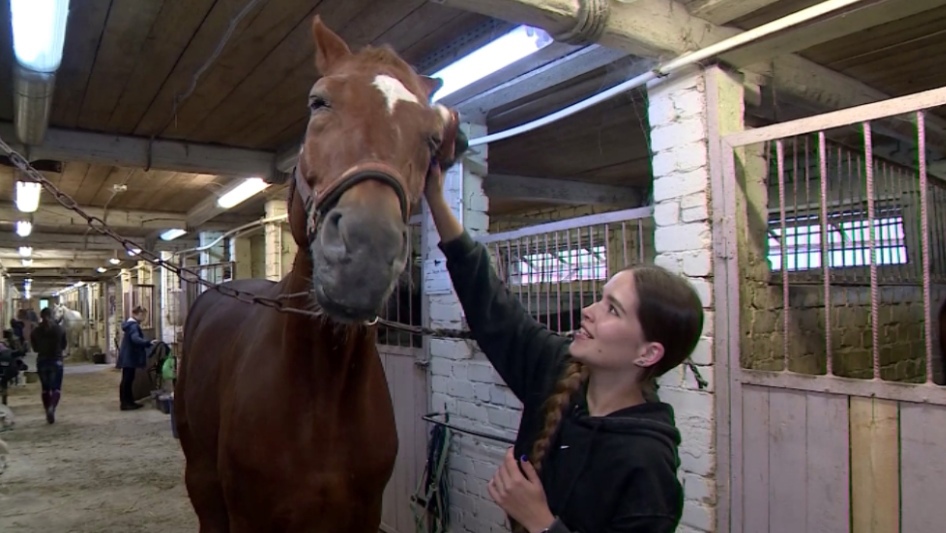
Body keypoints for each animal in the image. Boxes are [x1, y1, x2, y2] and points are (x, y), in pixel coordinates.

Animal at [174, 16, 468, 532]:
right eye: (318, 102)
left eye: (433, 137)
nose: (366, 250)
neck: (321, 397)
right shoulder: (249, 515)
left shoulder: (364, 515)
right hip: (203, 480)